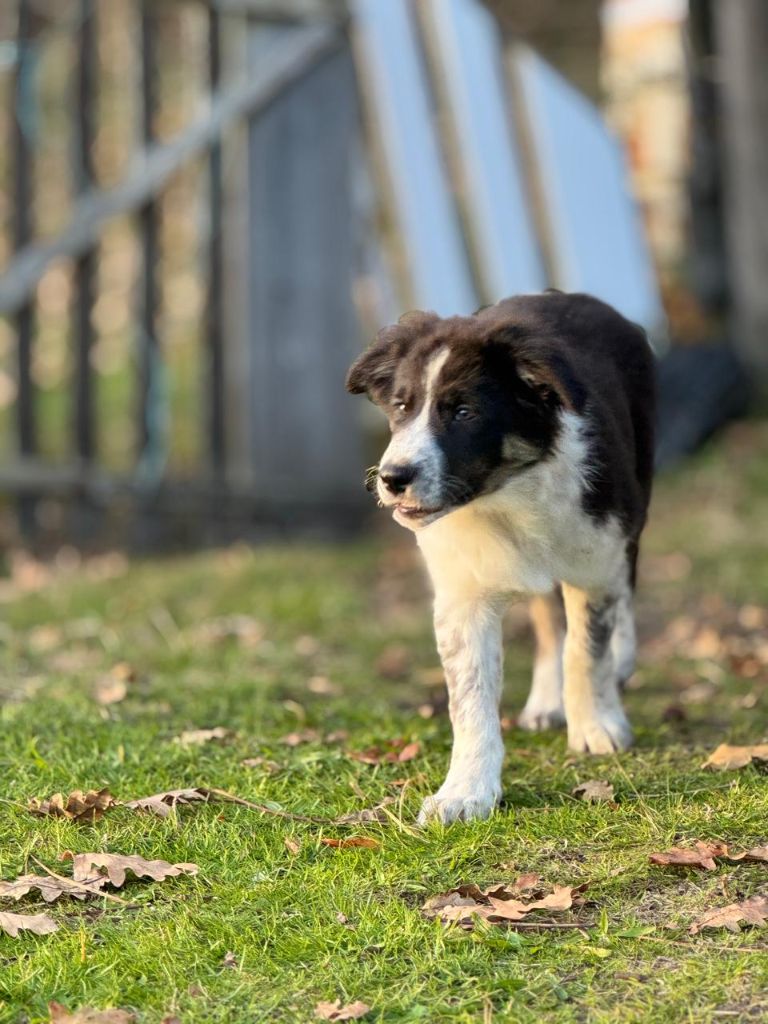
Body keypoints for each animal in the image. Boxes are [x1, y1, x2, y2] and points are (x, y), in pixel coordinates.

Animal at [348, 290, 655, 823]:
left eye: (464, 412)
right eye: (402, 407)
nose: (391, 478)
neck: (507, 497)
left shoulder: (596, 559)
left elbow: (587, 650)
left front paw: (596, 727)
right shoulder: (462, 597)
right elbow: (470, 699)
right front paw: (465, 793)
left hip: (634, 503)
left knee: (621, 594)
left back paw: (619, 663)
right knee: (548, 619)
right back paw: (547, 702)